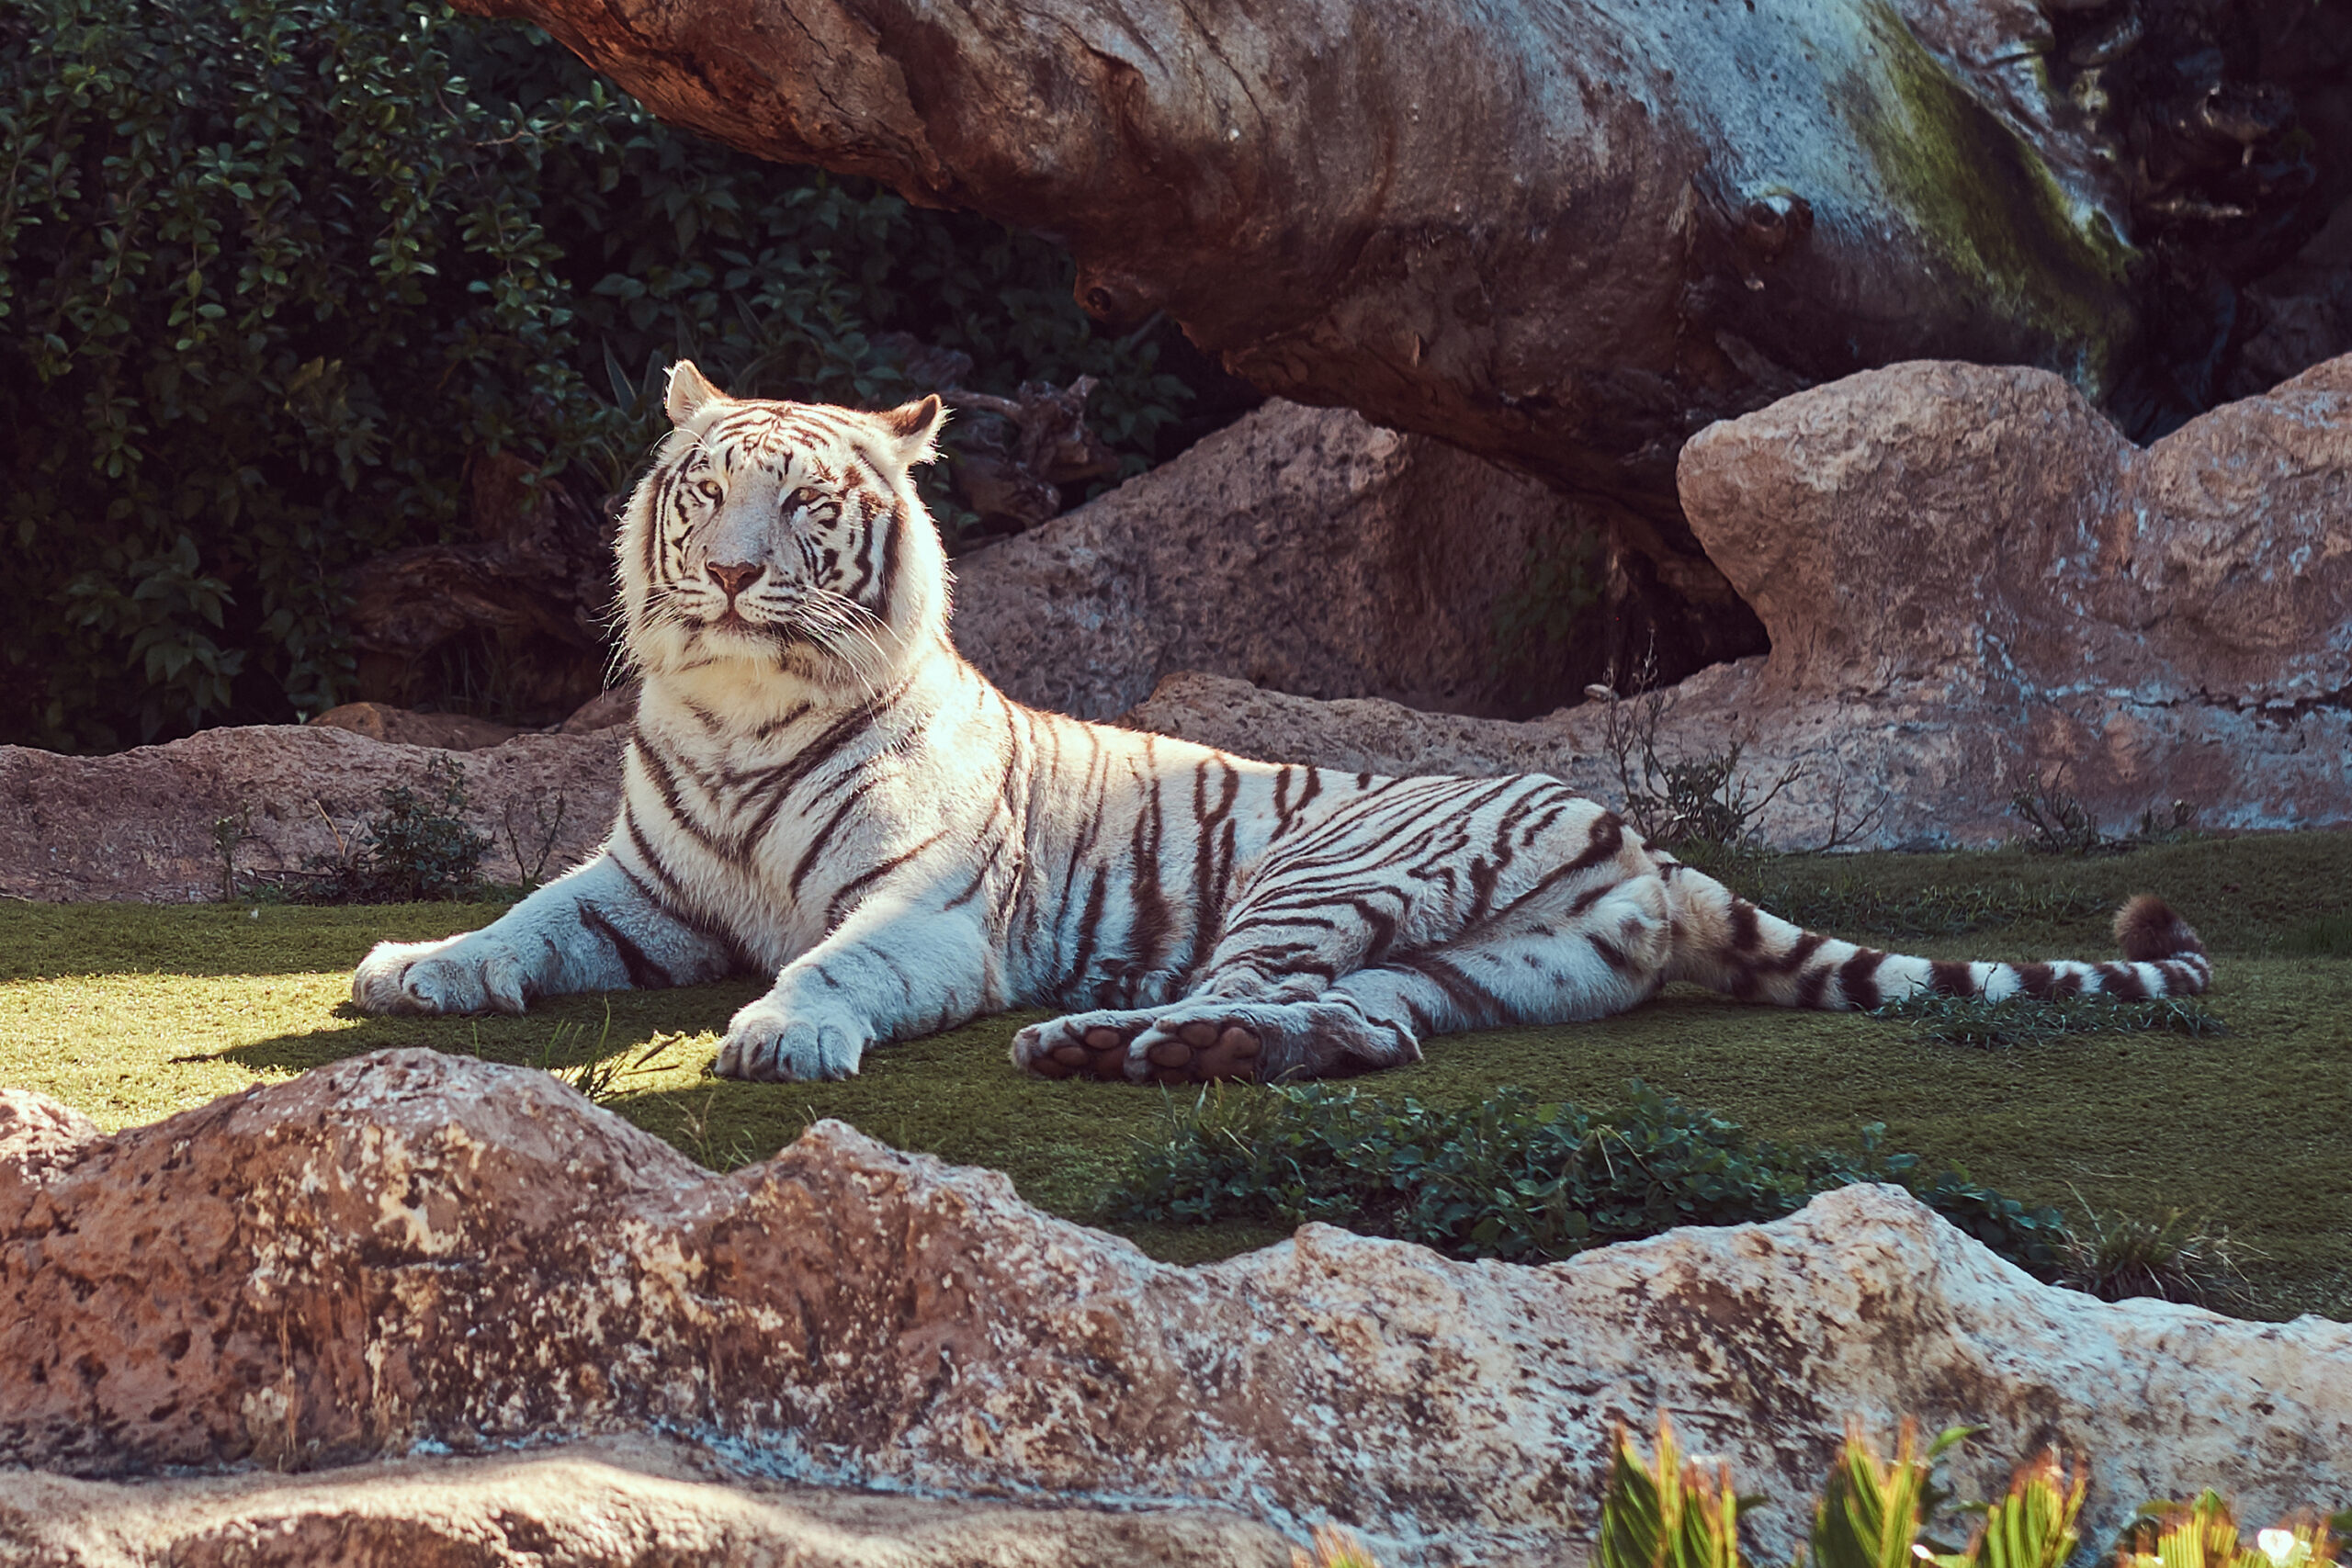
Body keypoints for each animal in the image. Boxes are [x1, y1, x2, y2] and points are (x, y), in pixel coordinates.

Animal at [349, 363, 2214, 1085]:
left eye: (806, 507)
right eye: (707, 494)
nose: (736, 574)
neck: (740, 715)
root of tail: (1646, 840)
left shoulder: (928, 910)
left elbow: (834, 961)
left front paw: (782, 1034)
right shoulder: (639, 887)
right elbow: (522, 919)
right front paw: (412, 968)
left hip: (1320, 876)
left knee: (1262, 995)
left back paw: (1103, 1040)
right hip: (1488, 972)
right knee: (1362, 1028)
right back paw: (1169, 1050)